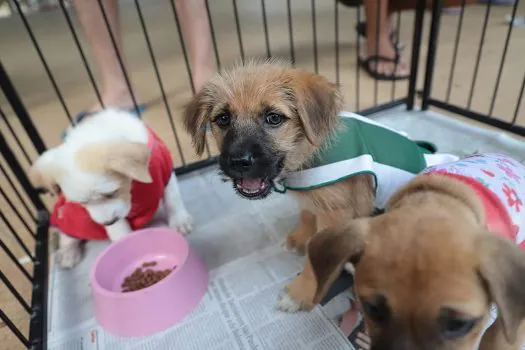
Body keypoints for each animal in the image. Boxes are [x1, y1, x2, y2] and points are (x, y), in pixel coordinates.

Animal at [29, 109, 192, 268]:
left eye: (112, 193)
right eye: (83, 203)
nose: (108, 222)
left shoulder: (166, 172)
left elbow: (172, 200)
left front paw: (180, 222)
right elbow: (120, 230)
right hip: (70, 217)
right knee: (67, 236)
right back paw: (68, 253)